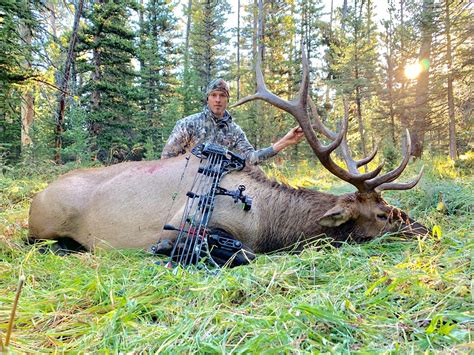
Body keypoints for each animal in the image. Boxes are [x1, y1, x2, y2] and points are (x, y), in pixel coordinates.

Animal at [26, 51, 426, 258]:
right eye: (382, 215)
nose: (424, 230)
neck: (269, 224)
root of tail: (35, 198)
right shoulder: (184, 228)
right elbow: (242, 253)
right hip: (46, 222)